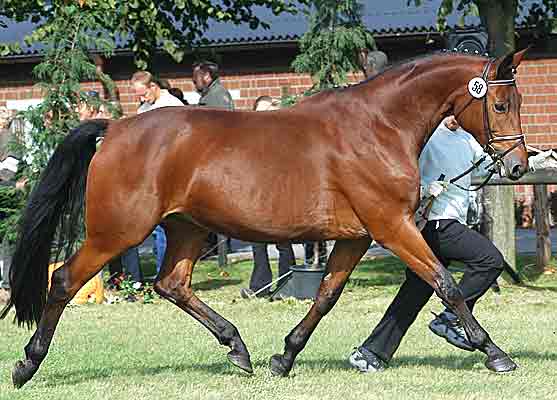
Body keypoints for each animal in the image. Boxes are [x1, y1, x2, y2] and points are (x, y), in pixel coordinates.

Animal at [2, 47, 528, 388]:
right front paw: (495, 353)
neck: (379, 127)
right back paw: (27, 365)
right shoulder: (391, 226)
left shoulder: (356, 237)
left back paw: (238, 348)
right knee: (64, 280)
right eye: (500, 103)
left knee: (171, 285)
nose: (519, 166)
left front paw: (284, 356)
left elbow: (325, 296)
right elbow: (446, 283)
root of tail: (114, 129)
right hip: (117, 232)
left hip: (187, 228)